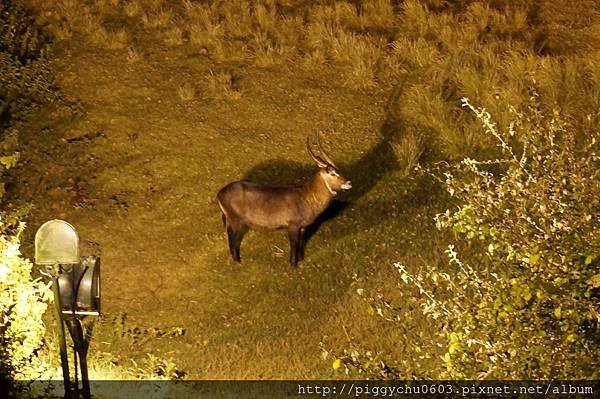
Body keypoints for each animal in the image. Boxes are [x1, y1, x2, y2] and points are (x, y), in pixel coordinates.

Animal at [217, 133, 352, 268]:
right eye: (332, 172)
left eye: (338, 170)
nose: (348, 182)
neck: (307, 196)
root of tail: (219, 193)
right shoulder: (293, 225)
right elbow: (294, 244)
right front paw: (293, 264)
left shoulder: (302, 227)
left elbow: (300, 242)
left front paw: (301, 259)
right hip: (234, 220)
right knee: (232, 237)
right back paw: (237, 261)